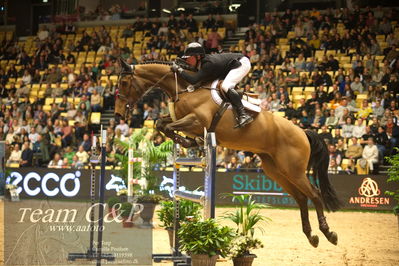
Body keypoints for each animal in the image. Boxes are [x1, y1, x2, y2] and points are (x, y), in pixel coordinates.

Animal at [115, 58, 340, 247]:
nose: (118, 113)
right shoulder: (180, 119)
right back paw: (311, 236)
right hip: (277, 171)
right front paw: (190, 141)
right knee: (301, 198)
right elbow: (161, 124)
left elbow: (168, 126)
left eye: (124, 83)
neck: (185, 88)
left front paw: (189, 141)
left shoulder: (197, 120)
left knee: (314, 194)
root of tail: (302, 131)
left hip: (293, 170)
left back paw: (328, 233)